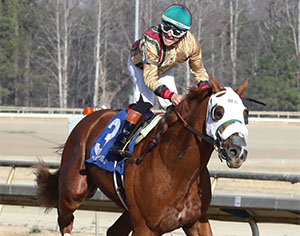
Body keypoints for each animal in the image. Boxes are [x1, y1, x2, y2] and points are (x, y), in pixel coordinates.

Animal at [35, 76, 248, 236]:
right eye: (218, 112)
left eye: (245, 113)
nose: (238, 151)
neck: (175, 166)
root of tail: (90, 117)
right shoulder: (145, 227)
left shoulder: (196, 221)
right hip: (74, 190)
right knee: (65, 220)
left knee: (113, 231)